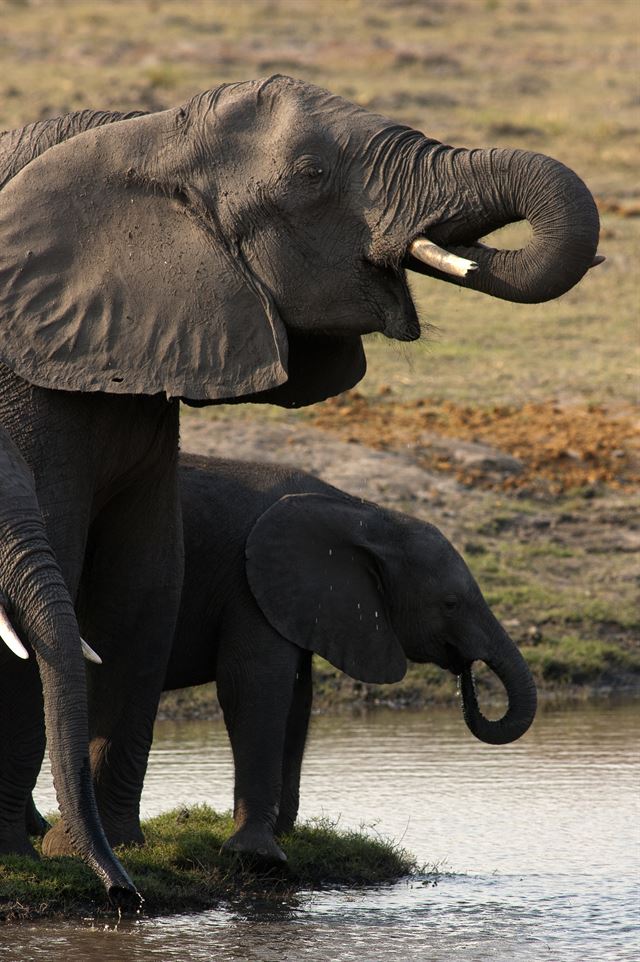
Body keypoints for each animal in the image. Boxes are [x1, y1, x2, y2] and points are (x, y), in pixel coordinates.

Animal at [159, 452, 536, 864]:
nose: (465, 671)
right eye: (450, 604)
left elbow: (298, 700)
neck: (362, 514)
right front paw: (258, 855)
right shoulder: (249, 586)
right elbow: (253, 687)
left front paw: (282, 836)